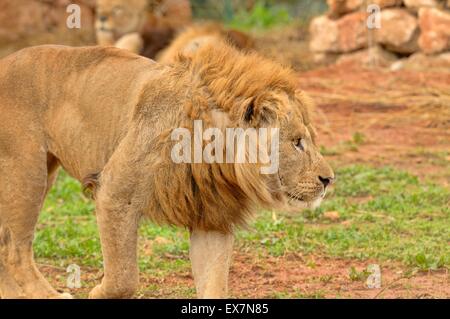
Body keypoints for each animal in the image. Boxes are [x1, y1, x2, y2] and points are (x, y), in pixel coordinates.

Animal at [0, 40, 334, 300]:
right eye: (297, 142)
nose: (329, 179)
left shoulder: (211, 217)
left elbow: (214, 284)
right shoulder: (115, 193)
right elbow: (124, 277)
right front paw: (97, 292)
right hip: (27, 173)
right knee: (16, 251)